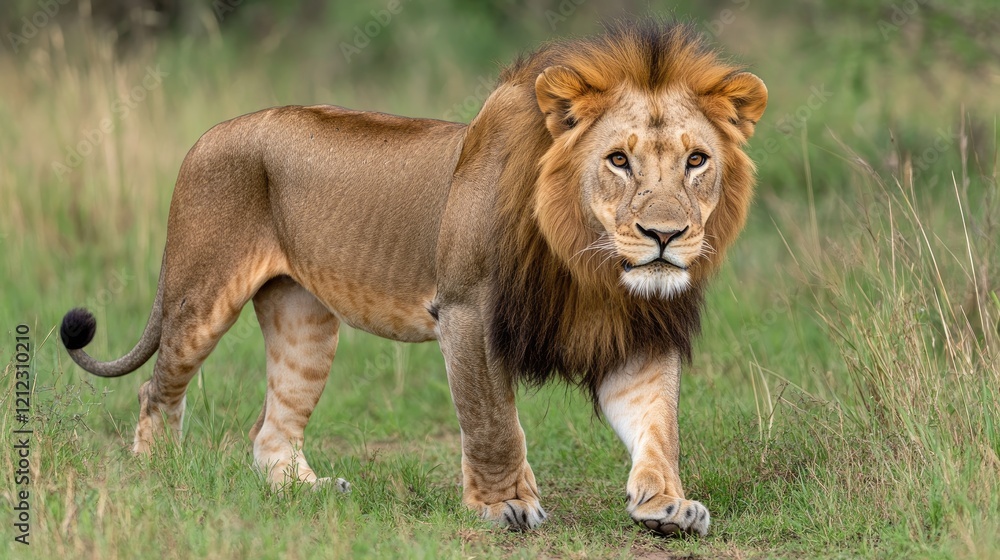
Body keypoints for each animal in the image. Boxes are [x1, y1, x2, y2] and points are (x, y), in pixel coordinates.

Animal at [60, 21, 766, 536]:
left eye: (696, 160)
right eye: (618, 161)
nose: (664, 236)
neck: (587, 263)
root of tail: (206, 135)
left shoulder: (636, 333)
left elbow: (657, 424)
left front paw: (667, 505)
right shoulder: (465, 311)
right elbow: (493, 421)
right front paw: (503, 507)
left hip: (303, 322)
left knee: (270, 430)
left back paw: (309, 494)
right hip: (200, 297)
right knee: (157, 390)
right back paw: (157, 476)